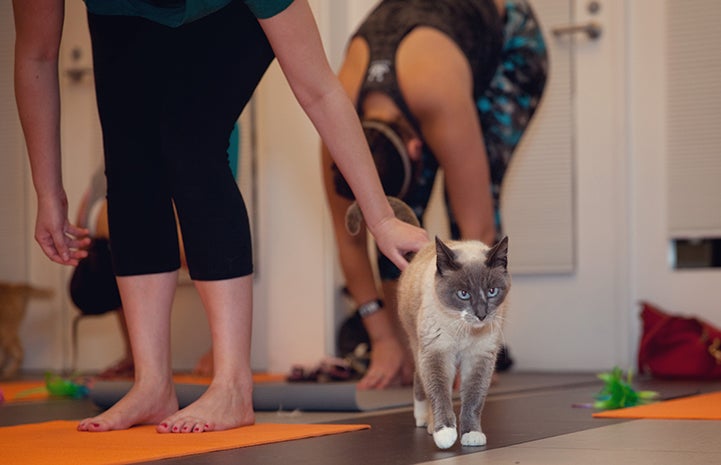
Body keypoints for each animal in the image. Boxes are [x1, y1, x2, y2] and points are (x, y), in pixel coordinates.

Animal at [344, 197, 510, 450]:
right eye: (463, 294)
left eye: (492, 291)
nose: (481, 315)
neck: (464, 331)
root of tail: (422, 250)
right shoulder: (436, 354)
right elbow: (439, 395)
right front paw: (445, 433)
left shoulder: (479, 358)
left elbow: (473, 400)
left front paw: (471, 435)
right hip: (419, 346)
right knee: (421, 383)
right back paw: (427, 423)